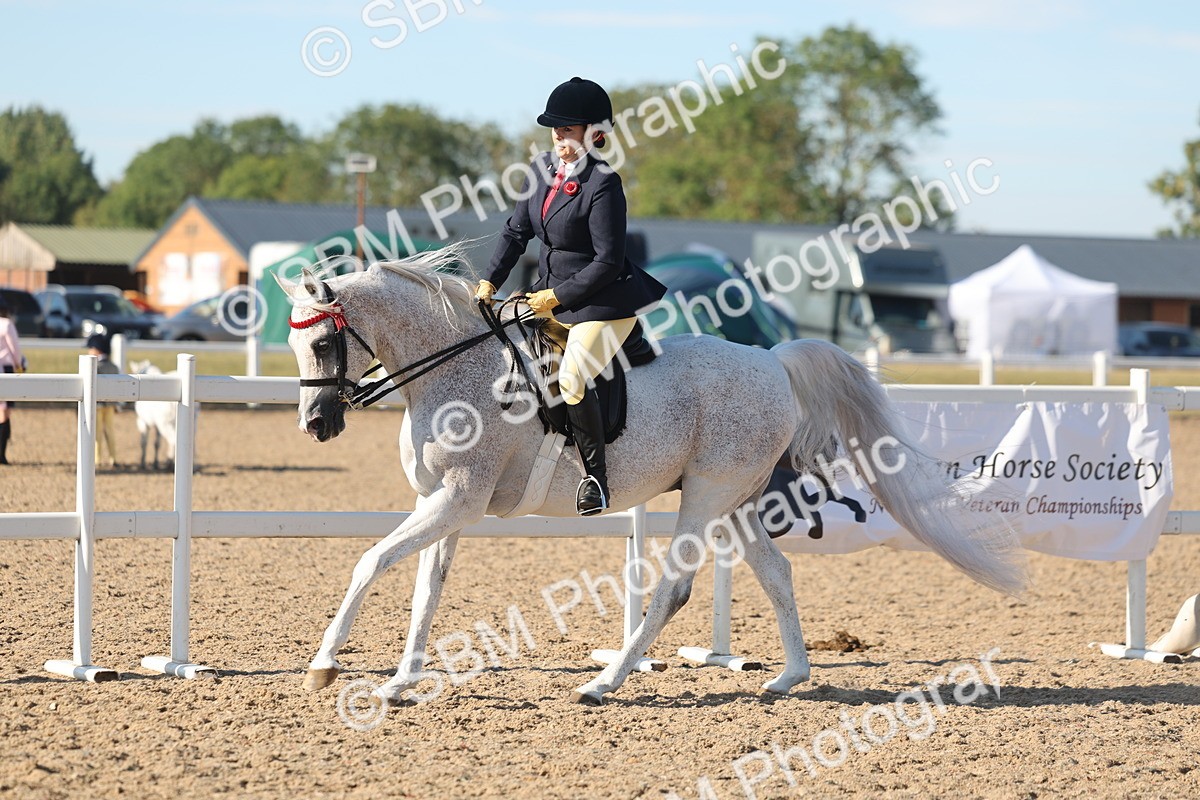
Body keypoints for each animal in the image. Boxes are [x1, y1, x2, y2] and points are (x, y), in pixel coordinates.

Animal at [276, 245, 1027, 707]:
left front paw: (325, 665)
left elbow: (371, 562)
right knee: (776, 572)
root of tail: (773, 359)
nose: (316, 424)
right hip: (735, 501)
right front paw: (399, 683)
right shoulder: (443, 502)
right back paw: (787, 678)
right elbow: (424, 592)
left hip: (708, 495)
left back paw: (605, 682)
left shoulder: (458, 500)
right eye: (291, 340)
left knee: (674, 588)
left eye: (325, 340)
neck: (455, 370)